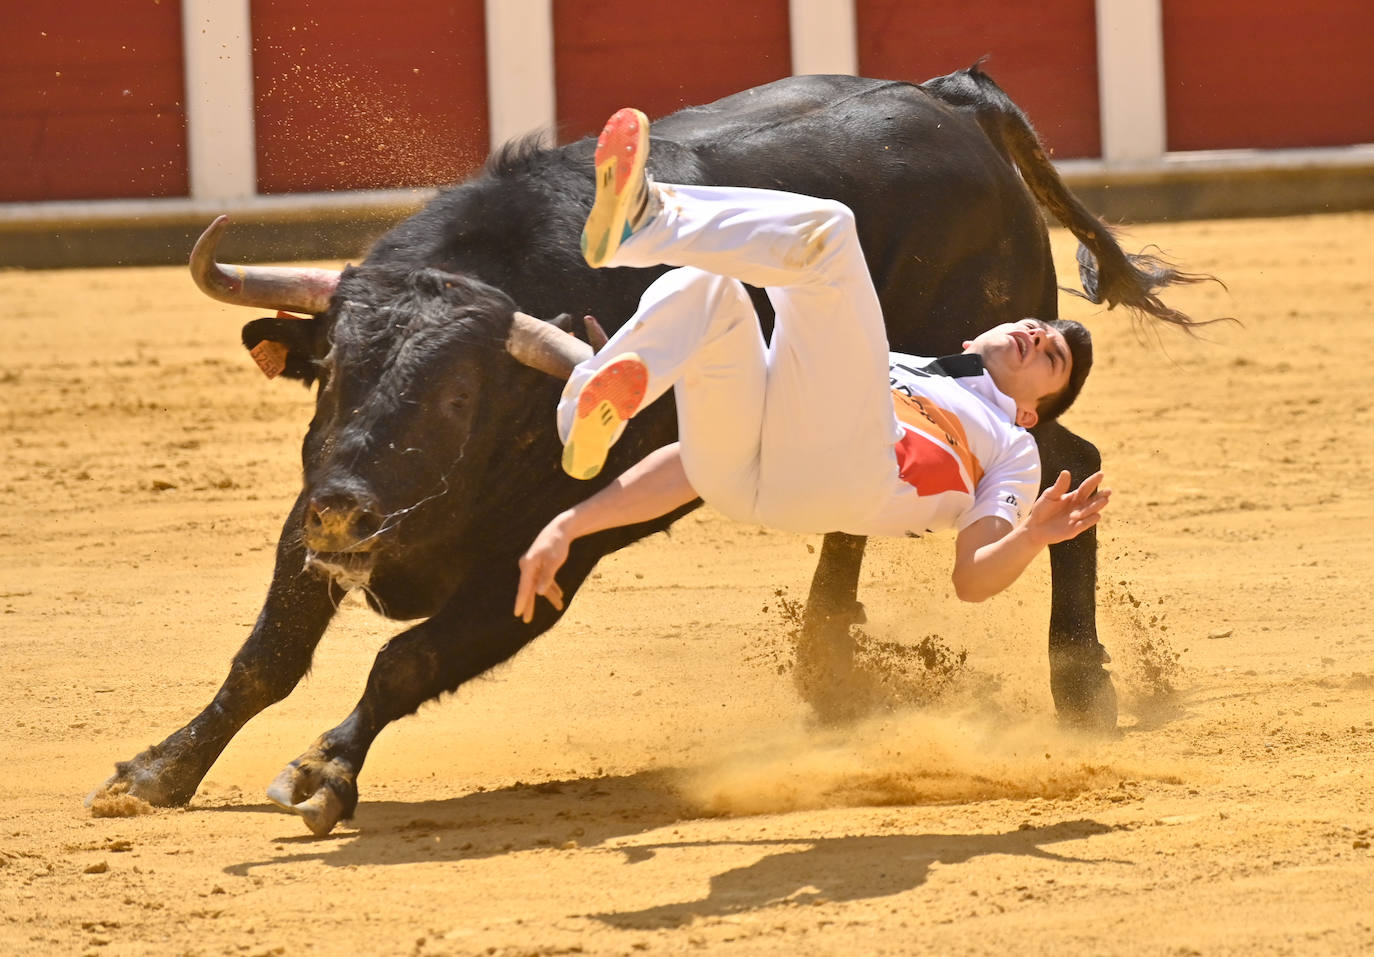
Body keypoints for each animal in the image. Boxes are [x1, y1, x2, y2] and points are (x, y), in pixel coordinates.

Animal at [94, 67, 1214, 834]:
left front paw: (322, 773)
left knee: (1072, 458)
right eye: (331, 371)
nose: (348, 508)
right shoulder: (317, 509)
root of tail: (948, 100)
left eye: (458, 391)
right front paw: (155, 772)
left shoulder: (551, 553)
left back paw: (1082, 689)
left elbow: (407, 658)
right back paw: (829, 672)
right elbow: (267, 654)